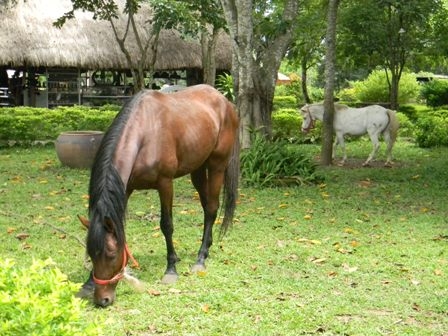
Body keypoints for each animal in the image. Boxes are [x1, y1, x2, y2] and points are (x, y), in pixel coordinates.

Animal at [79, 84, 240, 308]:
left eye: (111, 253)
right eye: (91, 253)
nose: (103, 299)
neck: (145, 134)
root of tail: (225, 102)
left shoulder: (165, 184)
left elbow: (167, 225)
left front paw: (171, 269)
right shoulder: (125, 189)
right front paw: (88, 284)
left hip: (217, 165)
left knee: (211, 208)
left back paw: (200, 259)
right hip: (197, 168)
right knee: (206, 205)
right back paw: (206, 247)